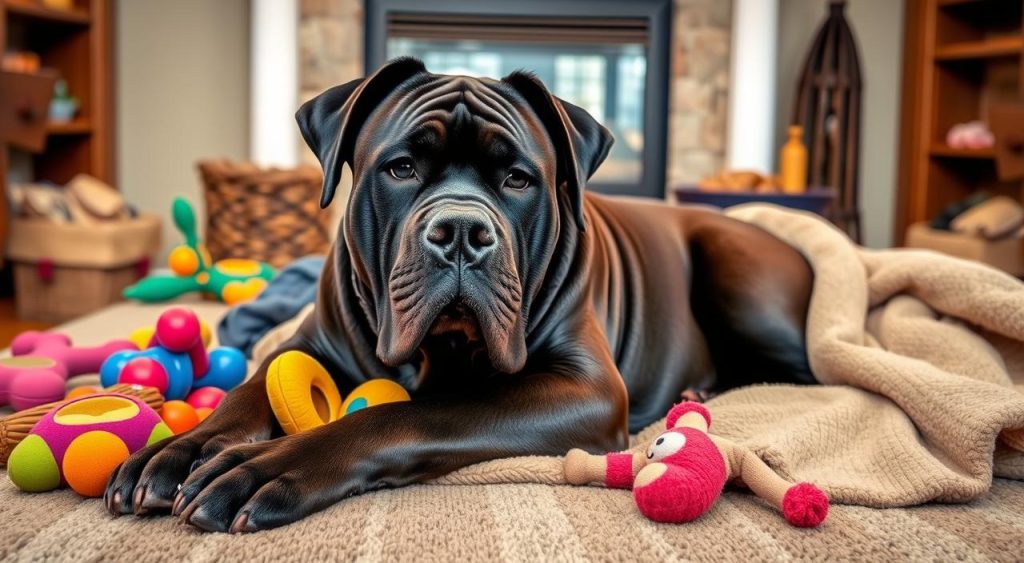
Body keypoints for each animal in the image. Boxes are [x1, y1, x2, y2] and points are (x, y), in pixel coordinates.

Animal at [101, 58, 806, 532]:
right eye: (401, 168)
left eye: (518, 179)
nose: (462, 230)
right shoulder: (308, 347)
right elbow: (246, 393)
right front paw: (180, 451)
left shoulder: (584, 389)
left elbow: (406, 414)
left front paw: (268, 466)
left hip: (736, 275)